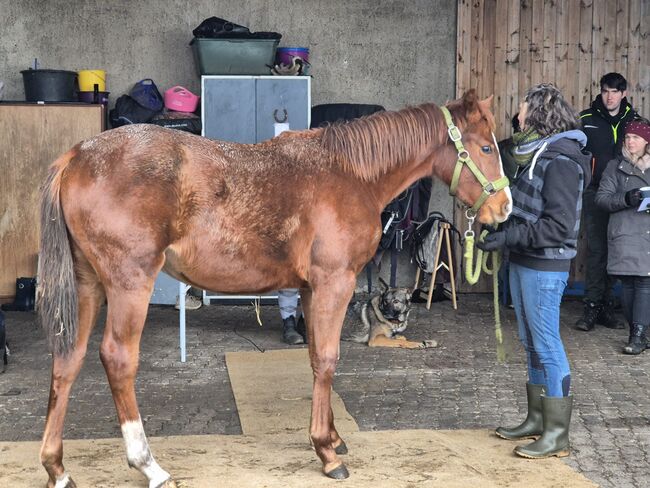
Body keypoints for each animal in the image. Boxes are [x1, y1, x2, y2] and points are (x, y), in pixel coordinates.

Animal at [38, 89, 508, 486]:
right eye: (486, 148)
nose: (504, 209)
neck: (351, 175)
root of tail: (76, 157)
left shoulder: (311, 289)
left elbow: (317, 357)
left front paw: (332, 438)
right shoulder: (335, 282)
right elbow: (328, 359)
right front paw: (327, 454)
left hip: (87, 285)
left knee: (68, 359)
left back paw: (57, 468)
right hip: (129, 282)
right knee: (117, 359)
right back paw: (149, 465)